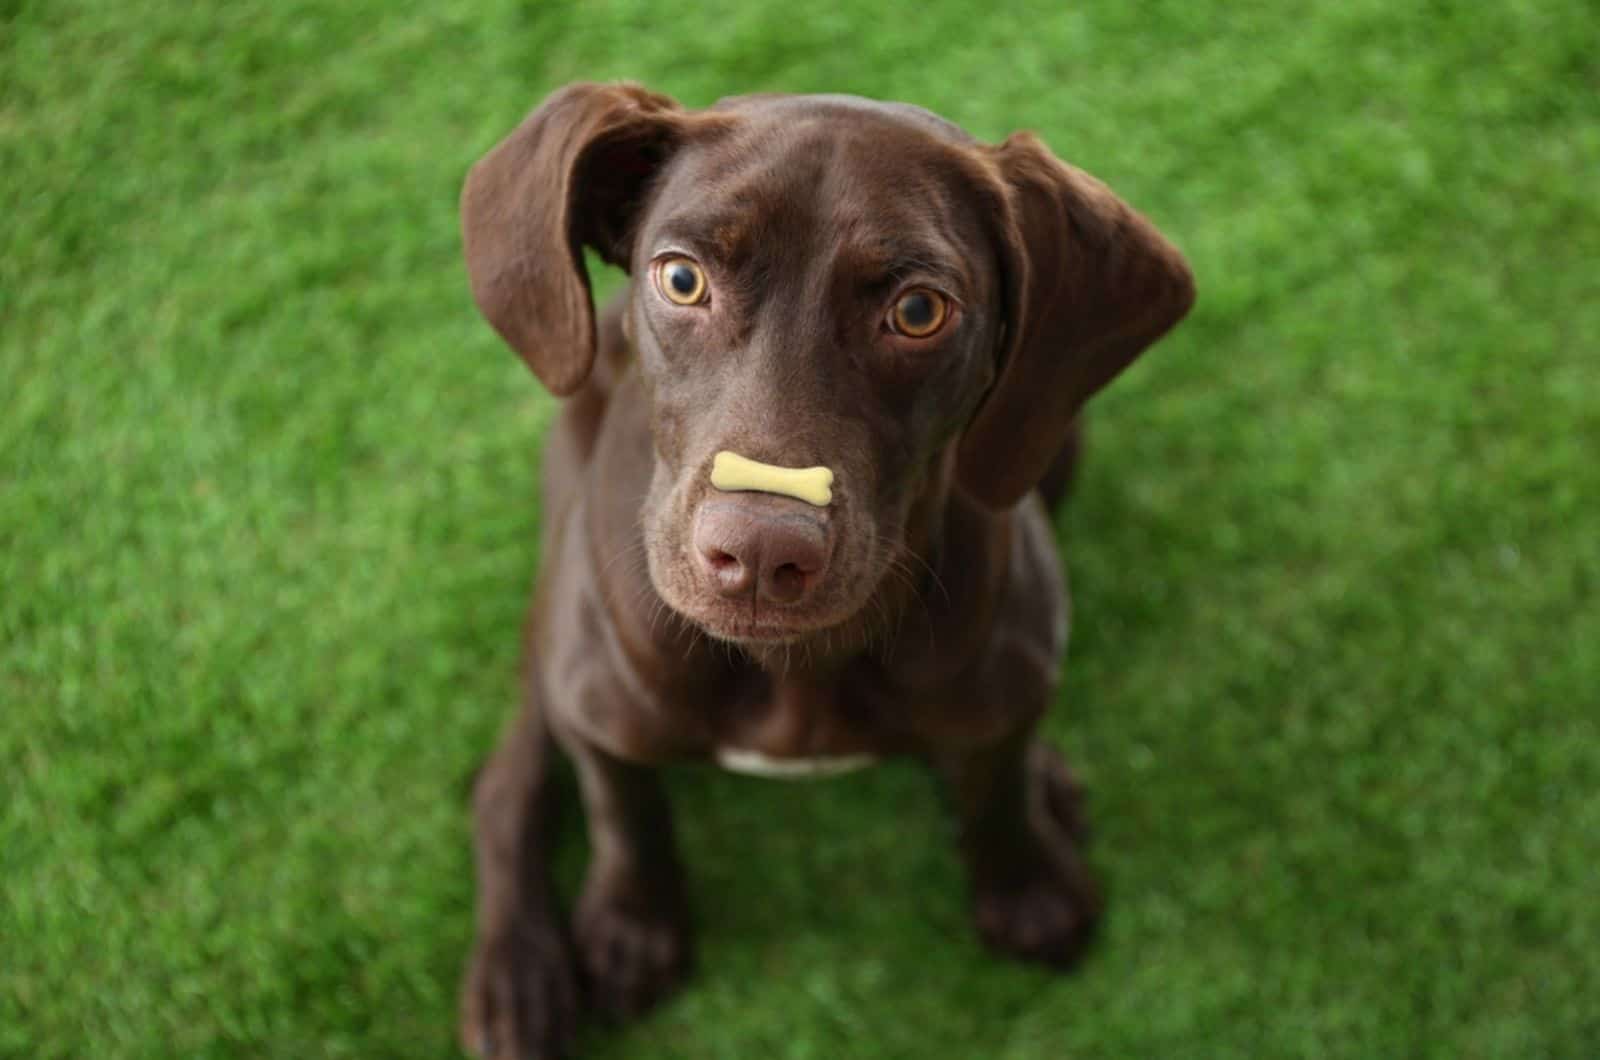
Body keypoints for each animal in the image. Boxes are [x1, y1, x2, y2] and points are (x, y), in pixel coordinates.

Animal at [457, 80, 1196, 1056]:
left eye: (919, 311)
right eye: (682, 278)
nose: (761, 552)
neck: (794, 670)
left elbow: (997, 778)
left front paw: (1026, 882)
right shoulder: (597, 701)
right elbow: (624, 809)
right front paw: (630, 927)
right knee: (508, 783)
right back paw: (517, 975)